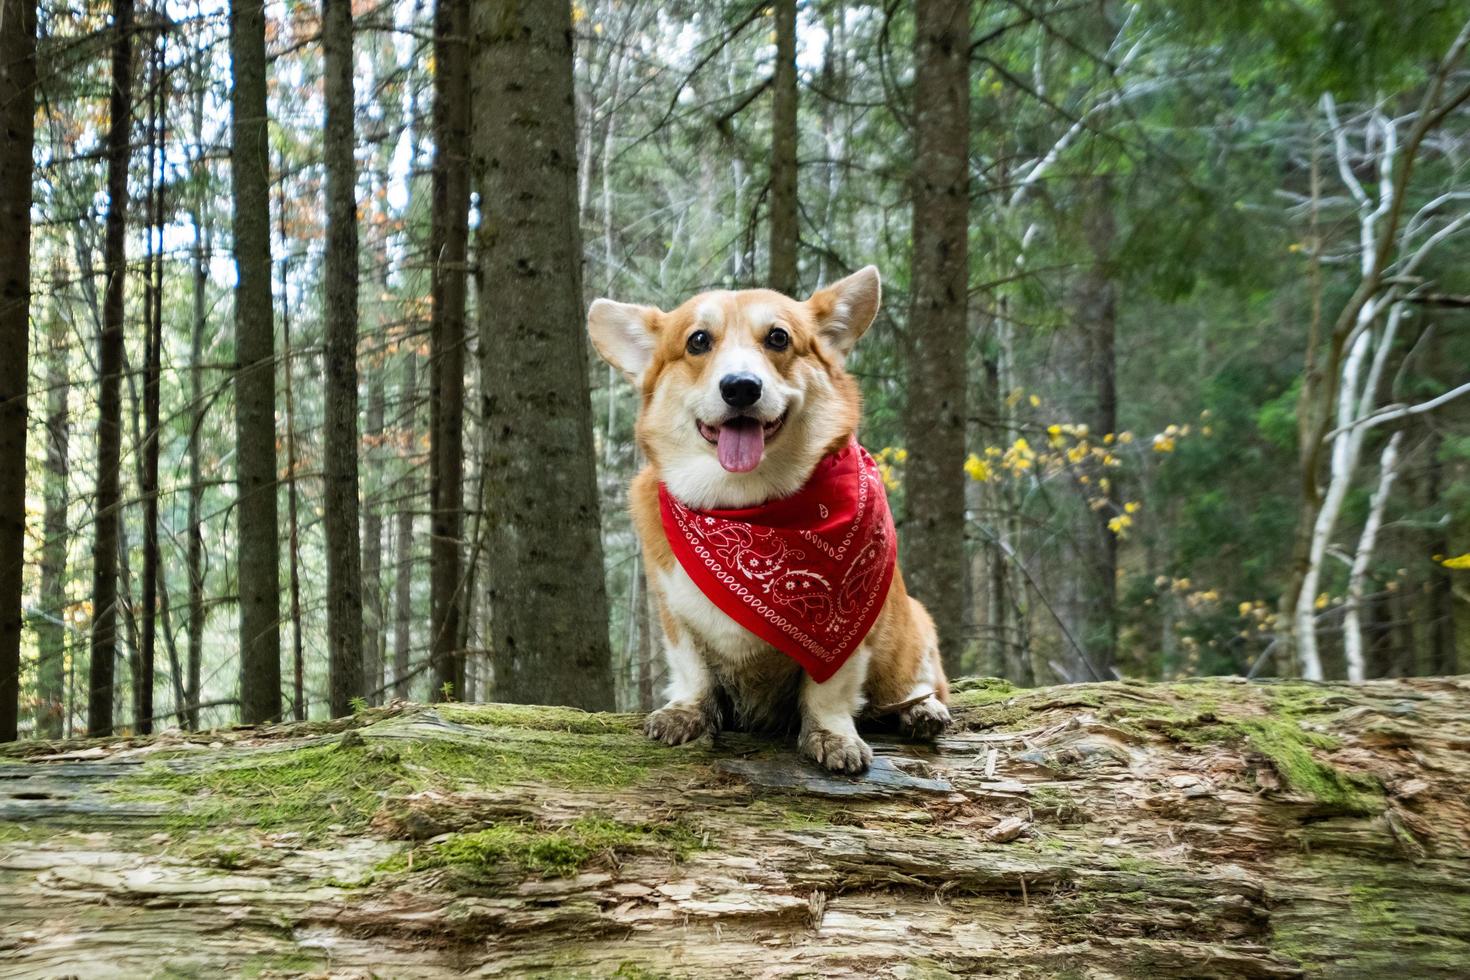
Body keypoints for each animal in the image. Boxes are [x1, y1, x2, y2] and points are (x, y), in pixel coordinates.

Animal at [588, 268, 952, 775]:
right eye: (698, 341)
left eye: (779, 337)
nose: (741, 386)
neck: (748, 507)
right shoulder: (674, 613)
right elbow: (692, 670)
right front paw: (686, 712)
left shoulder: (852, 631)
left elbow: (829, 689)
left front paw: (832, 736)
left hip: (913, 625)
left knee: (917, 683)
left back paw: (922, 709)